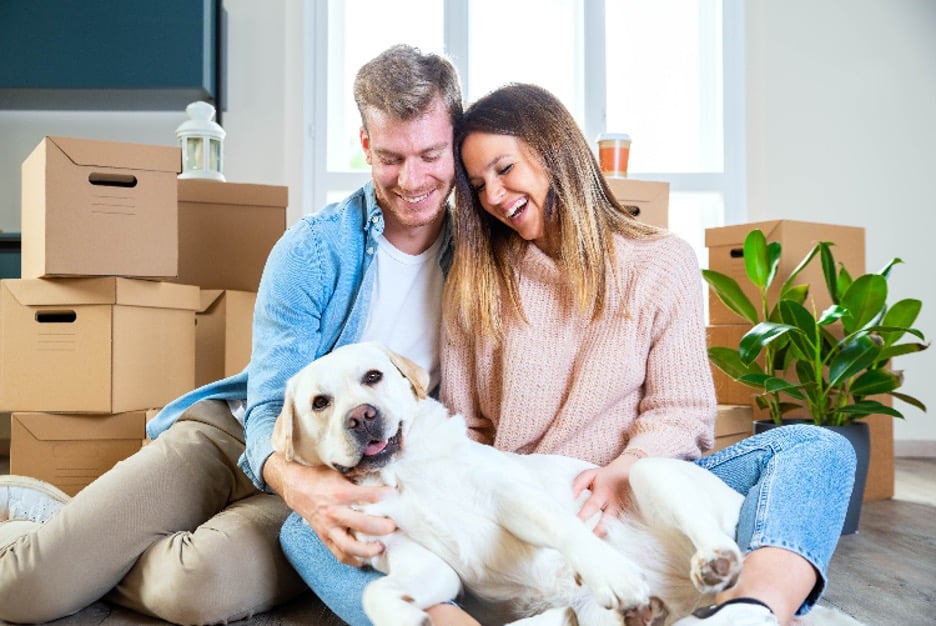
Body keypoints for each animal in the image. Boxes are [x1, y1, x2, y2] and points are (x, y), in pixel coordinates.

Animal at [272, 342, 856, 624]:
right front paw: (403, 617)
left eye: (372, 377)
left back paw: (710, 563)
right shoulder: (423, 564)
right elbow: (379, 597)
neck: (405, 473)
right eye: (320, 403)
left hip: (647, 472)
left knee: (719, 541)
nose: (362, 417)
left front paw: (609, 571)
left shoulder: (512, 498)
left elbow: (567, 530)